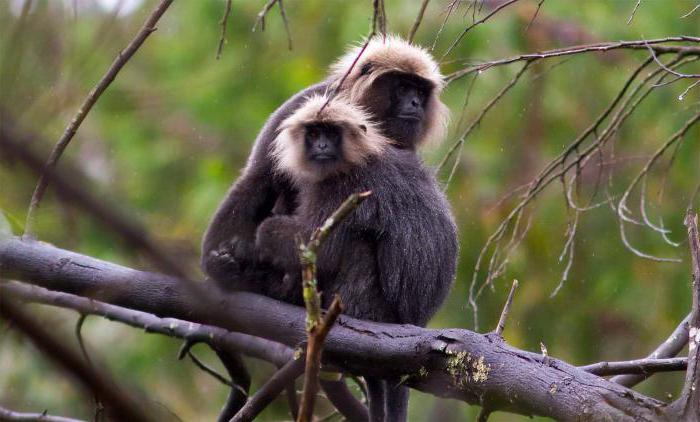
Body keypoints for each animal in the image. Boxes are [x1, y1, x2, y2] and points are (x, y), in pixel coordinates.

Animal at [254, 95, 456, 422]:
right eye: (313, 133)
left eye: (332, 133)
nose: (322, 146)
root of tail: (413, 321)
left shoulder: (347, 187)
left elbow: (319, 248)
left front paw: (263, 235)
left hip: (369, 305)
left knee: (357, 244)